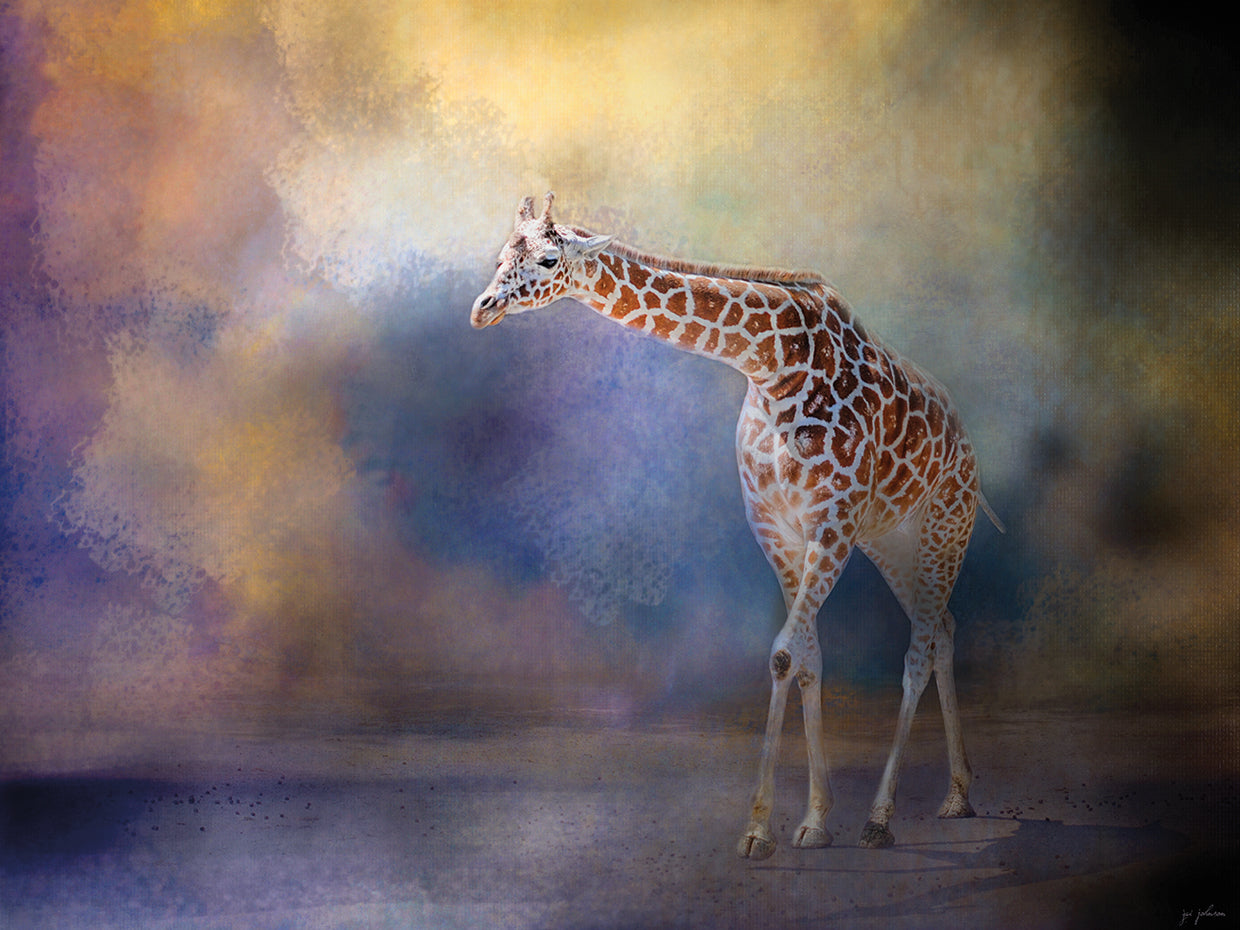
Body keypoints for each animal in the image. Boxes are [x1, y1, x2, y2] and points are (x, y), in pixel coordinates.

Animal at [471, 193, 1004, 859]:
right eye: (500, 255)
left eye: (547, 259)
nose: (482, 308)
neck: (771, 364)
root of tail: (968, 445)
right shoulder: (777, 527)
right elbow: (808, 658)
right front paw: (813, 819)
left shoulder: (831, 523)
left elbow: (782, 653)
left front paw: (760, 829)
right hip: (891, 541)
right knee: (944, 628)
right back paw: (957, 794)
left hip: (943, 527)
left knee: (918, 646)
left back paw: (882, 818)